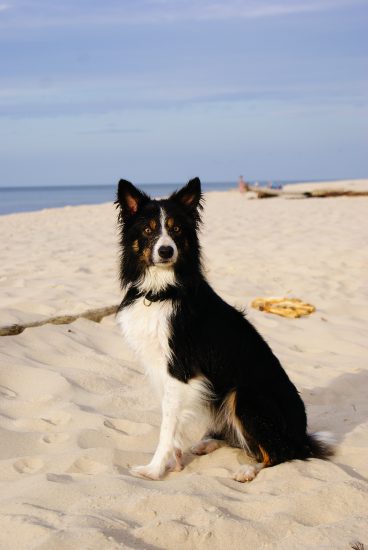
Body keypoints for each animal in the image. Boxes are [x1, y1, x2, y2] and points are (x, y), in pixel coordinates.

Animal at [115, 178, 334, 484]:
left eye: (176, 229)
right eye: (148, 229)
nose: (166, 251)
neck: (161, 291)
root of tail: (302, 437)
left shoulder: (180, 369)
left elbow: (167, 426)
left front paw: (155, 469)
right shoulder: (160, 368)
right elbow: (172, 419)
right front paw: (175, 460)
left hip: (243, 395)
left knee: (280, 453)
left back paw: (248, 469)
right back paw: (208, 443)